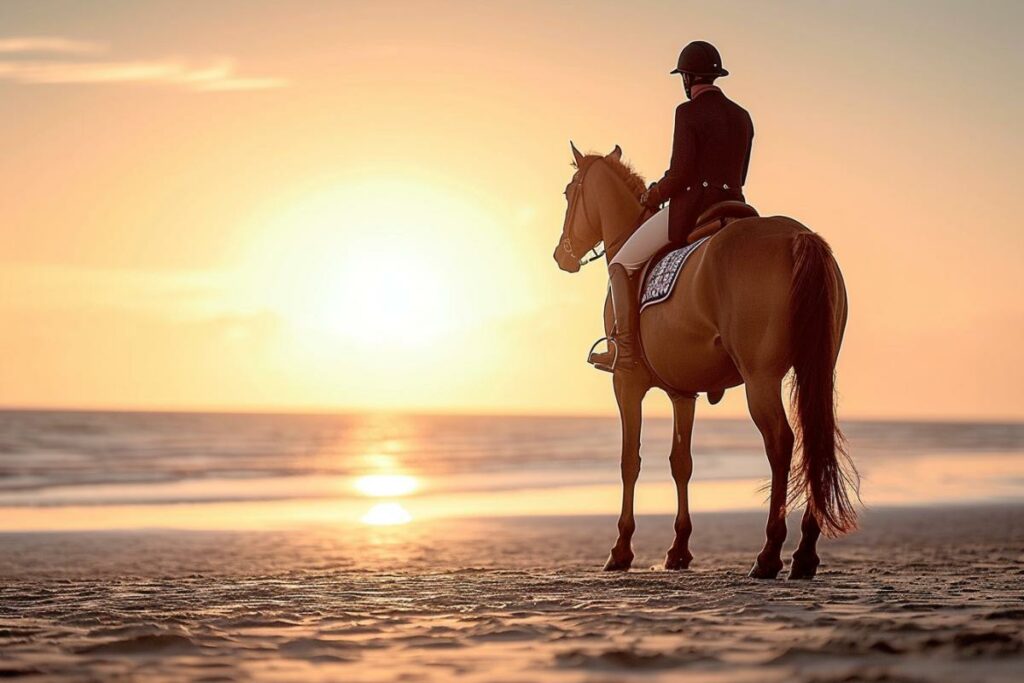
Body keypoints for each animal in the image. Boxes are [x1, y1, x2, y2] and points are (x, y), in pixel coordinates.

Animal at [552, 145, 856, 581]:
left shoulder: (626, 383)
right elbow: (682, 463)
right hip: (815, 371)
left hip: (760, 379)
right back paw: (804, 555)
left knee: (781, 443)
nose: (561, 255)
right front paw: (678, 550)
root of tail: (799, 235)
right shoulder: (684, 393)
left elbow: (630, 461)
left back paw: (769, 555)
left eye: (568, 193)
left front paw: (621, 549)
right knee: (816, 438)